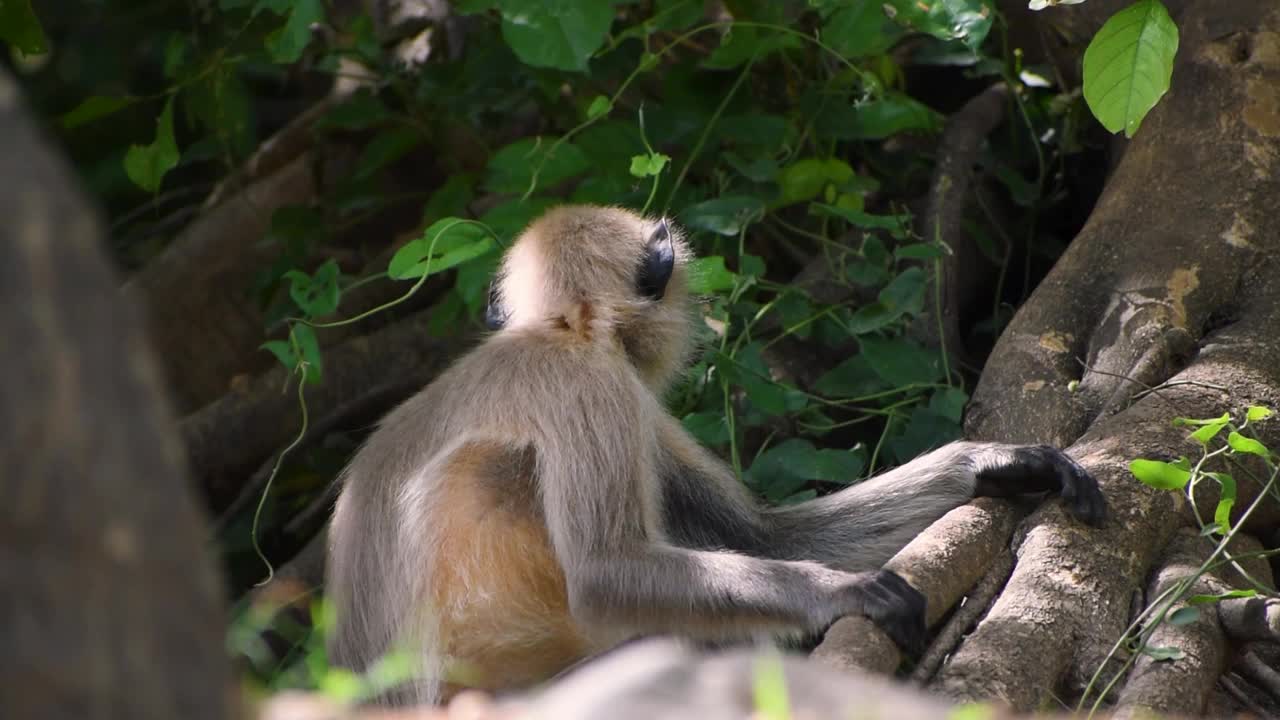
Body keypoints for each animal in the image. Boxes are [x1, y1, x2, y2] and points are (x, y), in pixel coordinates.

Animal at [322, 202, 1111, 702]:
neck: (558, 333)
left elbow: (761, 537)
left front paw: (994, 465)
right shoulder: (592, 387)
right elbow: (606, 573)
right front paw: (843, 592)